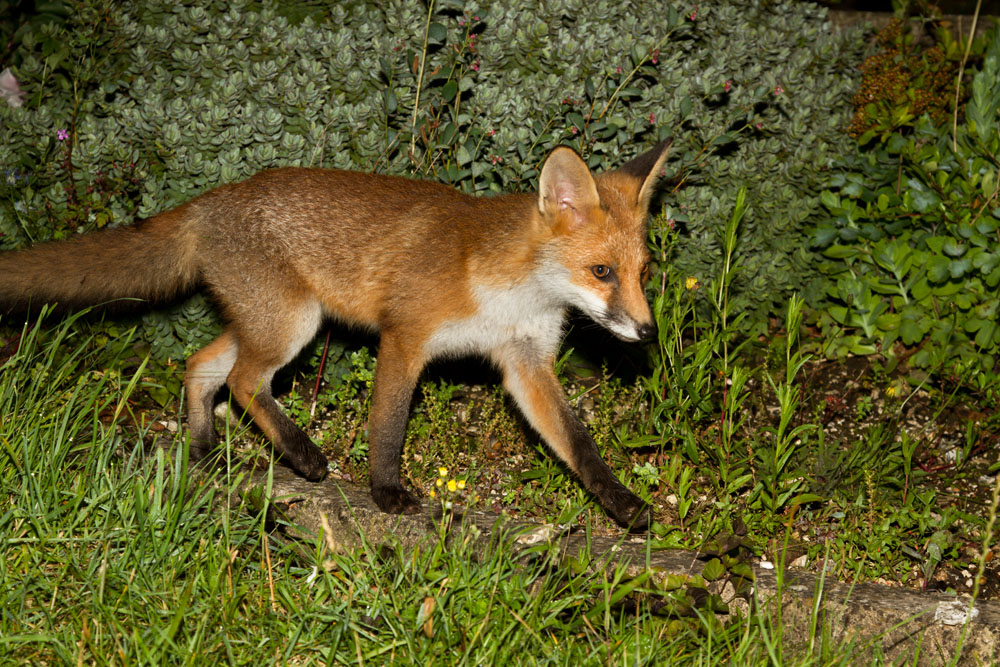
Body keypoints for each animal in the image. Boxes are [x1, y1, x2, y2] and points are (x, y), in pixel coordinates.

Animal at [0, 140, 670, 529]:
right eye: (601, 272)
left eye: (642, 272)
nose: (646, 331)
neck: (510, 292)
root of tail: (212, 199)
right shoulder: (405, 338)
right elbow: (388, 427)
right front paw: (386, 491)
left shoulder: (525, 362)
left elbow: (578, 445)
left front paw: (621, 504)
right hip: (293, 325)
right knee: (244, 381)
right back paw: (301, 454)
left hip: (267, 322)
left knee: (201, 365)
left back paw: (205, 447)